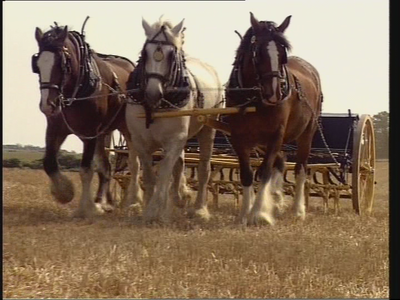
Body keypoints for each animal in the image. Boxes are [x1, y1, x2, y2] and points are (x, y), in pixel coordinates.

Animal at [32, 22, 142, 216]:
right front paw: (64, 193)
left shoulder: (89, 133)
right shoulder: (55, 129)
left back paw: (133, 201)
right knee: (106, 167)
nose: (47, 105)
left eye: (62, 64)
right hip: (103, 133)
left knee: (134, 164)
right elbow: (49, 163)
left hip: (128, 130)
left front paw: (86, 208)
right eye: (37, 64)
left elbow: (85, 170)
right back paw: (103, 202)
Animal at [126, 17, 223, 223]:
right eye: (145, 52)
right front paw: (150, 207)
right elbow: (149, 175)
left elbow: (164, 173)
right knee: (180, 164)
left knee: (203, 169)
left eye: (172, 54)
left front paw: (157, 210)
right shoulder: (140, 141)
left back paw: (199, 209)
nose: (153, 93)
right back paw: (180, 197)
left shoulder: (174, 139)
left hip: (208, 128)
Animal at [227, 13, 324, 225]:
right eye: (258, 53)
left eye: (282, 53)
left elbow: (264, 171)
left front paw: (258, 214)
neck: (254, 97)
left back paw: (298, 210)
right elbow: (247, 173)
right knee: (281, 160)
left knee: (300, 168)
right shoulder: (239, 137)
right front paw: (245, 213)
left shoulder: (275, 135)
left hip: (307, 132)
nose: (274, 94)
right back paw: (277, 200)